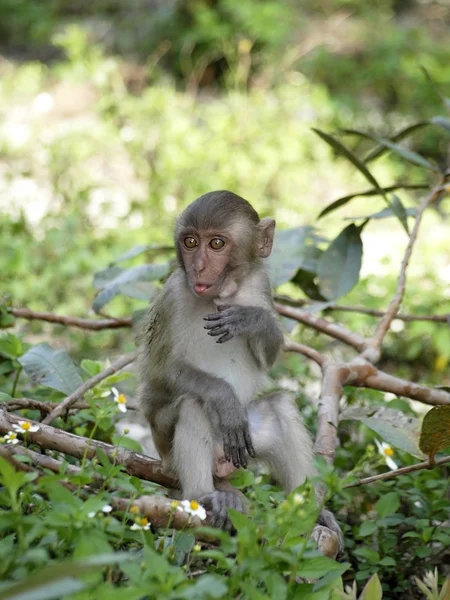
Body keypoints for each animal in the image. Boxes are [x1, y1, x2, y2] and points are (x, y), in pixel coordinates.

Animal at [136, 190, 342, 552]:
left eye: (217, 243)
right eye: (191, 242)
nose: (198, 266)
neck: (222, 294)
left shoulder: (260, 283)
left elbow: (267, 358)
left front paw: (253, 320)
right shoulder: (173, 297)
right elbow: (162, 372)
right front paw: (225, 398)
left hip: (246, 445)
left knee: (280, 407)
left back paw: (309, 514)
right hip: (170, 451)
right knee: (193, 403)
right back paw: (205, 496)